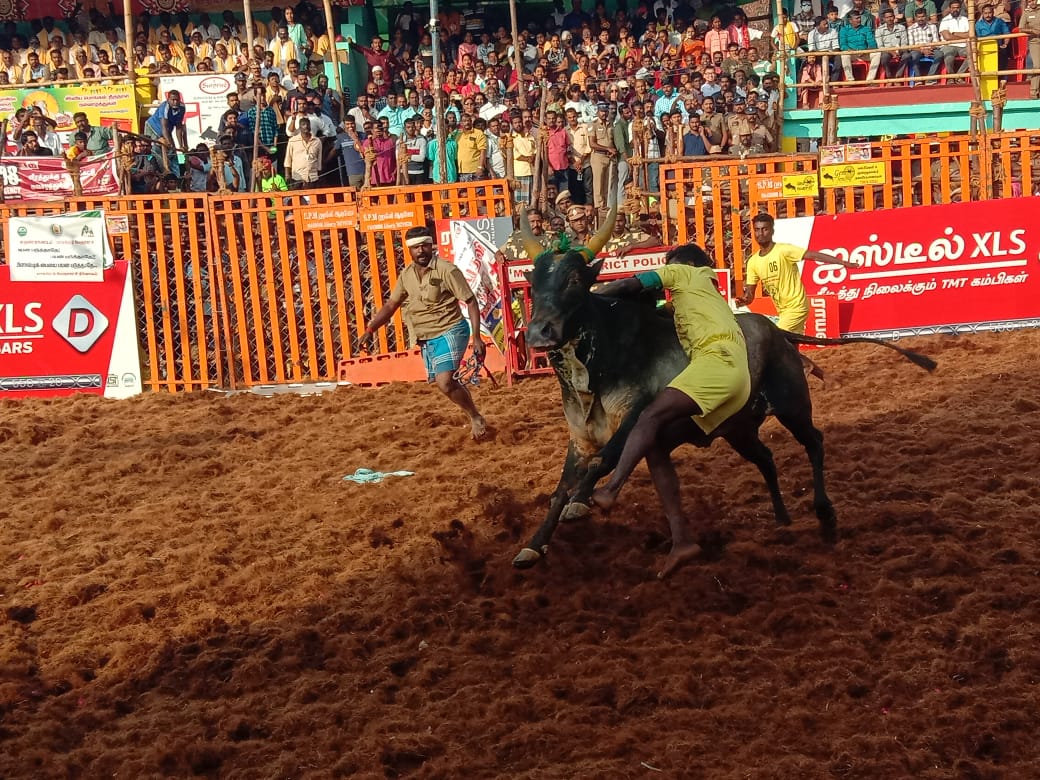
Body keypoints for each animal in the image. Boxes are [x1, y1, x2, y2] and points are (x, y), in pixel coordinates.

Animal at [509, 211, 935, 569]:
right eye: (534, 281)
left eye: (574, 279)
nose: (539, 332)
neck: (604, 360)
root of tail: (775, 331)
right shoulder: (580, 439)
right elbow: (561, 488)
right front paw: (534, 544)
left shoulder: (634, 418)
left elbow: (603, 461)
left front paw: (581, 504)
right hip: (739, 430)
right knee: (766, 459)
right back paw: (781, 518)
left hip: (793, 406)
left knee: (814, 441)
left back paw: (825, 514)